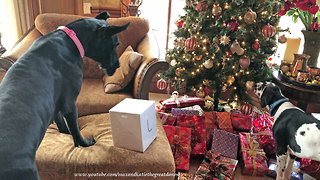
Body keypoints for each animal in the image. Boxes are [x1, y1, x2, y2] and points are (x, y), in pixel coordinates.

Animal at [0, 11, 129, 179]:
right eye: (116, 44)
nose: (118, 65)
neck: (70, 39)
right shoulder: (70, 102)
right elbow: (75, 130)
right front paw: (84, 143)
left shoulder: (55, 104)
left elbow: (62, 125)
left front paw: (65, 133)